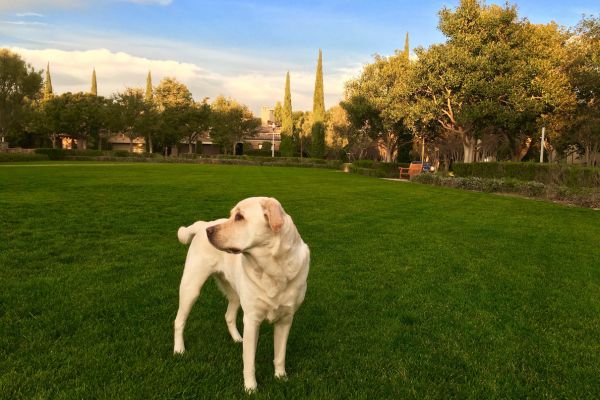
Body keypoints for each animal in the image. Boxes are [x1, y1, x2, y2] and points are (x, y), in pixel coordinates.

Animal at [171, 197, 308, 390]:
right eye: (232, 215)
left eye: (239, 217)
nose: (209, 232)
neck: (273, 270)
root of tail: (203, 223)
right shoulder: (252, 319)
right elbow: (249, 360)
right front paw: (251, 388)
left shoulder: (286, 319)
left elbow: (280, 354)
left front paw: (281, 377)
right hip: (191, 288)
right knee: (179, 321)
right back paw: (179, 350)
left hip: (234, 293)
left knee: (228, 315)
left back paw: (237, 339)